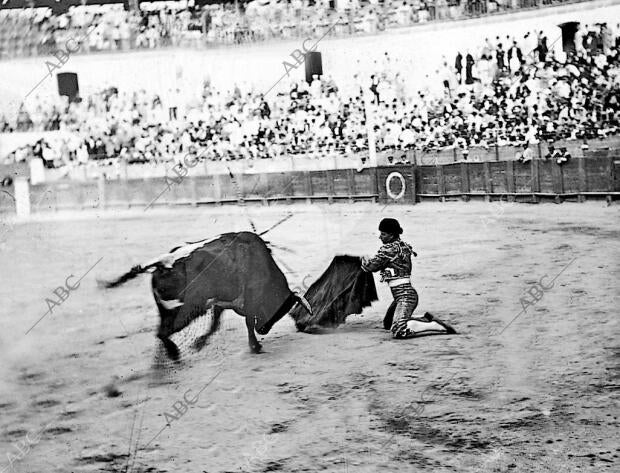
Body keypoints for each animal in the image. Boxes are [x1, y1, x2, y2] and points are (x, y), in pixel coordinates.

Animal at [104, 231, 314, 358]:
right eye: (276, 308)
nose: (264, 330)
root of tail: (164, 261)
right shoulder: (249, 302)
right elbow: (246, 323)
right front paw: (255, 347)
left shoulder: (221, 302)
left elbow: (215, 323)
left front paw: (199, 342)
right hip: (186, 309)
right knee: (164, 333)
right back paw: (174, 355)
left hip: (171, 310)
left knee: (161, 332)